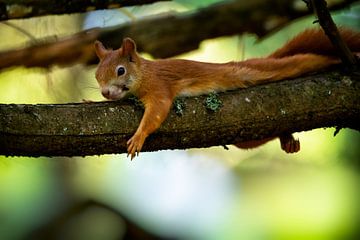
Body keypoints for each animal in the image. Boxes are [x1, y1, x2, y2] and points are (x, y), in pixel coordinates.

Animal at [94, 28, 360, 159]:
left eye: (120, 70)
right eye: (97, 75)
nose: (105, 93)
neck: (144, 73)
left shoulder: (160, 87)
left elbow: (157, 111)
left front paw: (139, 137)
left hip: (268, 69)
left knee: (307, 61)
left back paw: (343, 58)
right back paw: (286, 139)